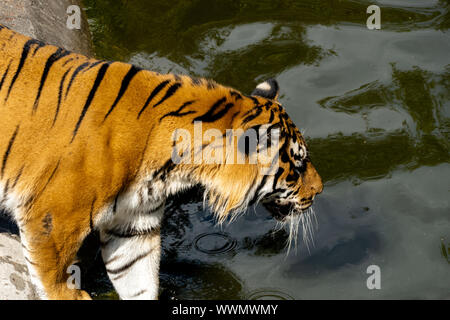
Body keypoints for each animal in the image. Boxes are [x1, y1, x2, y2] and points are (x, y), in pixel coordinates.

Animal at [0, 24, 324, 300]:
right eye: (296, 167)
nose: (320, 190)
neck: (172, 169)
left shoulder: (133, 227)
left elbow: (139, 281)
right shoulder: (50, 223)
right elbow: (56, 282)